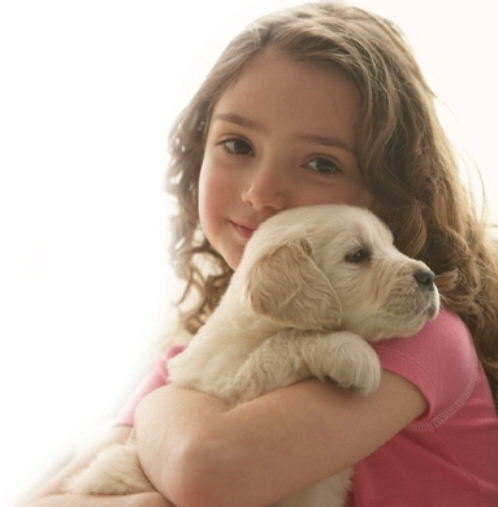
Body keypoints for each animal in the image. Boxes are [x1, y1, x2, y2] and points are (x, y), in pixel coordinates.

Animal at [65, 204, 439, 506]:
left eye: (392, 245)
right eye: (358, 255)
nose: (429, 276)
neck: (255, 327)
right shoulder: (229, 390)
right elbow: (285, 341)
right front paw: (349, 352)